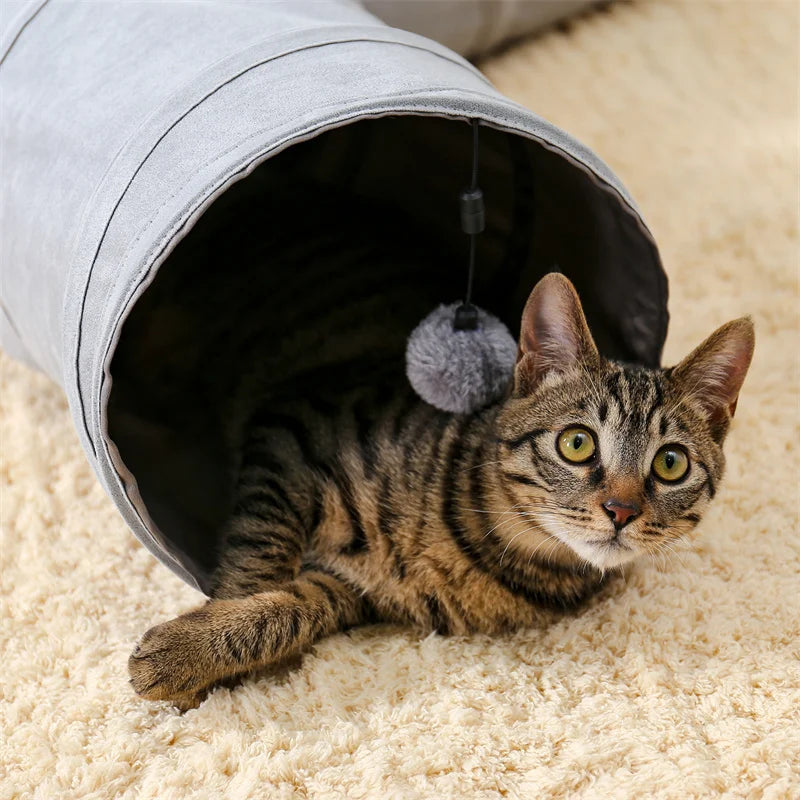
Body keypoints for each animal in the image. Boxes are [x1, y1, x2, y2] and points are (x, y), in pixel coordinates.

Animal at [128, 274, 752, 708]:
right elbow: (256, 561)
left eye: (670, 463)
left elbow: (292, 608)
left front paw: (196, 655)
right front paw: (202, 649)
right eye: (577, 444)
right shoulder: (289, 428)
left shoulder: (350, 591)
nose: (621, 510)